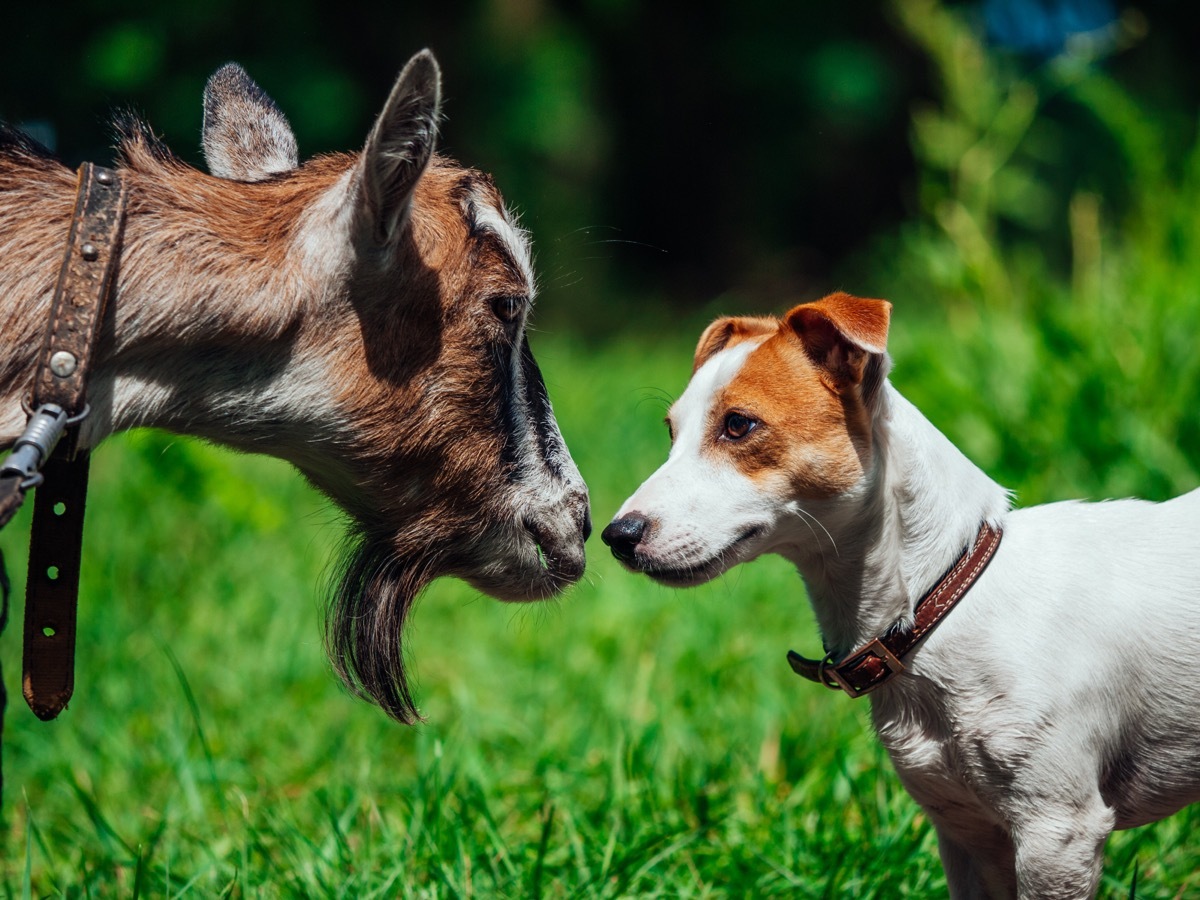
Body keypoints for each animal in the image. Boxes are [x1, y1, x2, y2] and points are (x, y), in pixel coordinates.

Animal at [604, 292, 1200, 897]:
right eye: (671, 432)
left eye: (738, 425)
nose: (615, 535)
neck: (943, 599)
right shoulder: (968, 833)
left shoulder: (1057, 833)